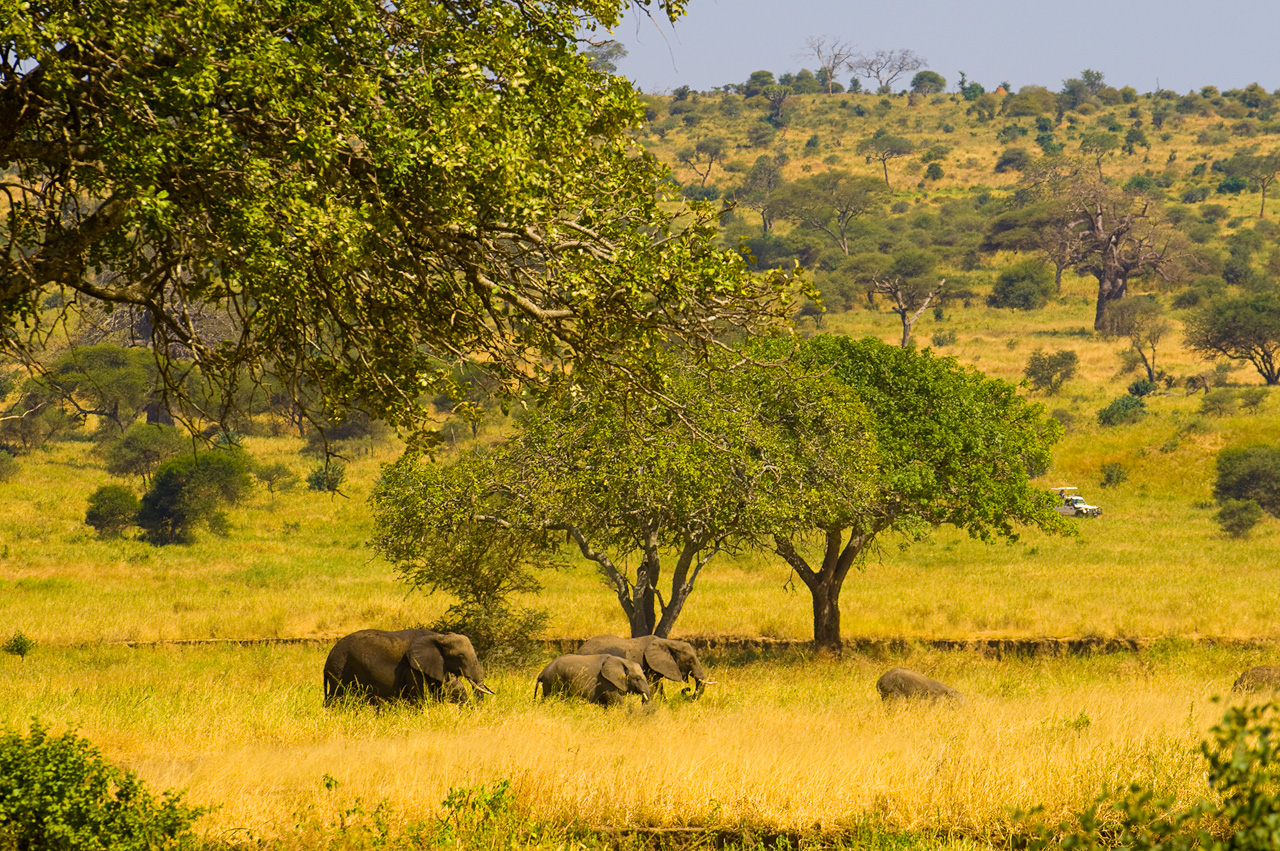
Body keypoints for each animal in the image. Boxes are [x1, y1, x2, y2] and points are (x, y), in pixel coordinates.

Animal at [323, 628, 493, 705]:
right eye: (460, 657)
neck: (439, 636)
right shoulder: (413, 668)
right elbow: (419, 695)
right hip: (340, 669)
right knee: (338, 697)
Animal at [574, 634, 708, 697]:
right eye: (690, 661)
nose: (687, 691)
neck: (669, 642)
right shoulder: (647, 666)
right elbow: (653, 687)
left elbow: (658, 686)